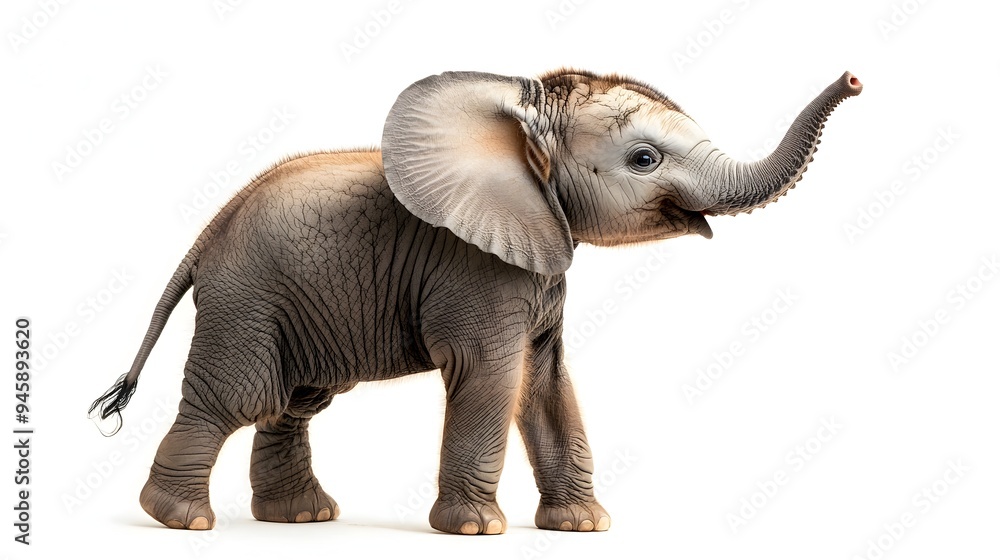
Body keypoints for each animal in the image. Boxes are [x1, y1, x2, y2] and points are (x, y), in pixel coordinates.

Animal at [90, 68, 862, 534]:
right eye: (644, 160)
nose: (855, 78)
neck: (523, 121)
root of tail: (206, 233)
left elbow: (545, 380)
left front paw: (582, 527)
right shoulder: (475, 268)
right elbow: (494, 374)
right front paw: (476, 530)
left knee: (296, 400)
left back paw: (302, 519)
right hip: (248, 295)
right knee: (242, 396)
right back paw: (181, 520)